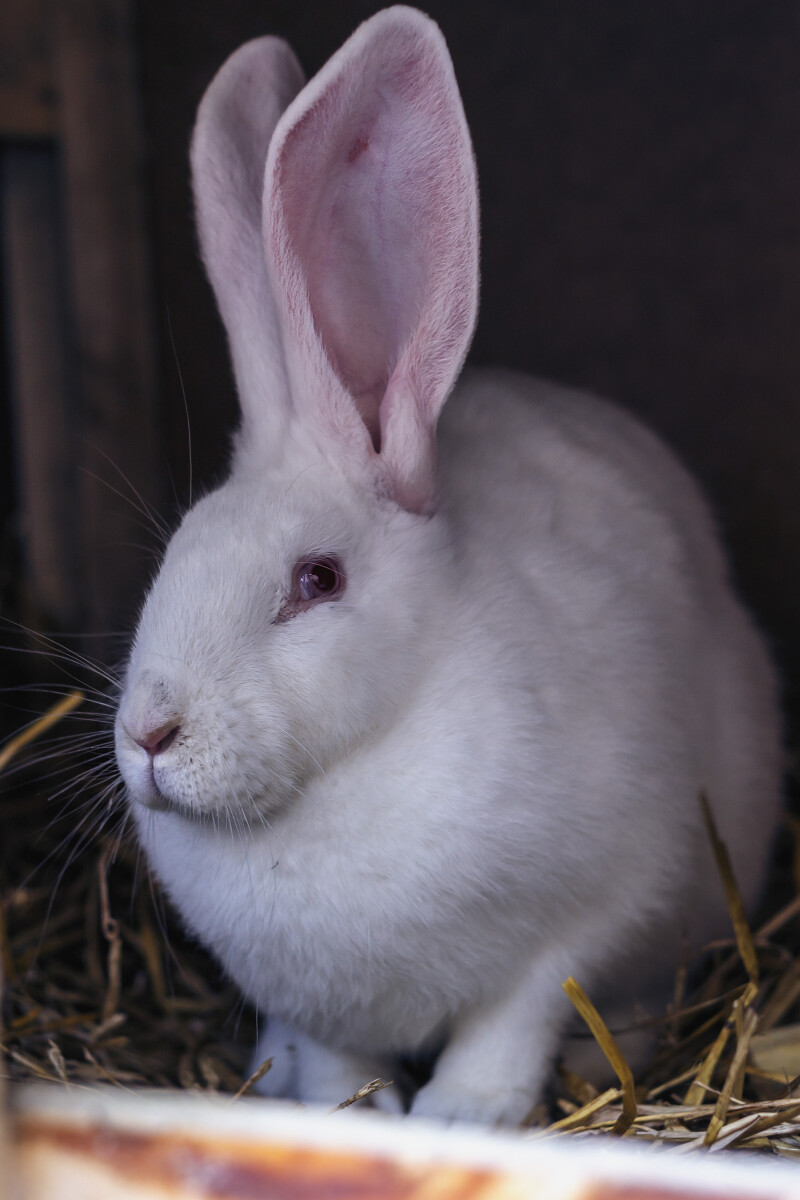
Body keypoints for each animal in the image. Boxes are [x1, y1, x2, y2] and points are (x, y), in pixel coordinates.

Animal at [115, 7, 786, 1123]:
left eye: (317, 581)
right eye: (174, 553)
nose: (148, 735)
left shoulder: (588, 915)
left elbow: (514, 1020)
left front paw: (463, 1115)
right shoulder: (315, 1003)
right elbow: (336, 1059)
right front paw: (351, 1113)